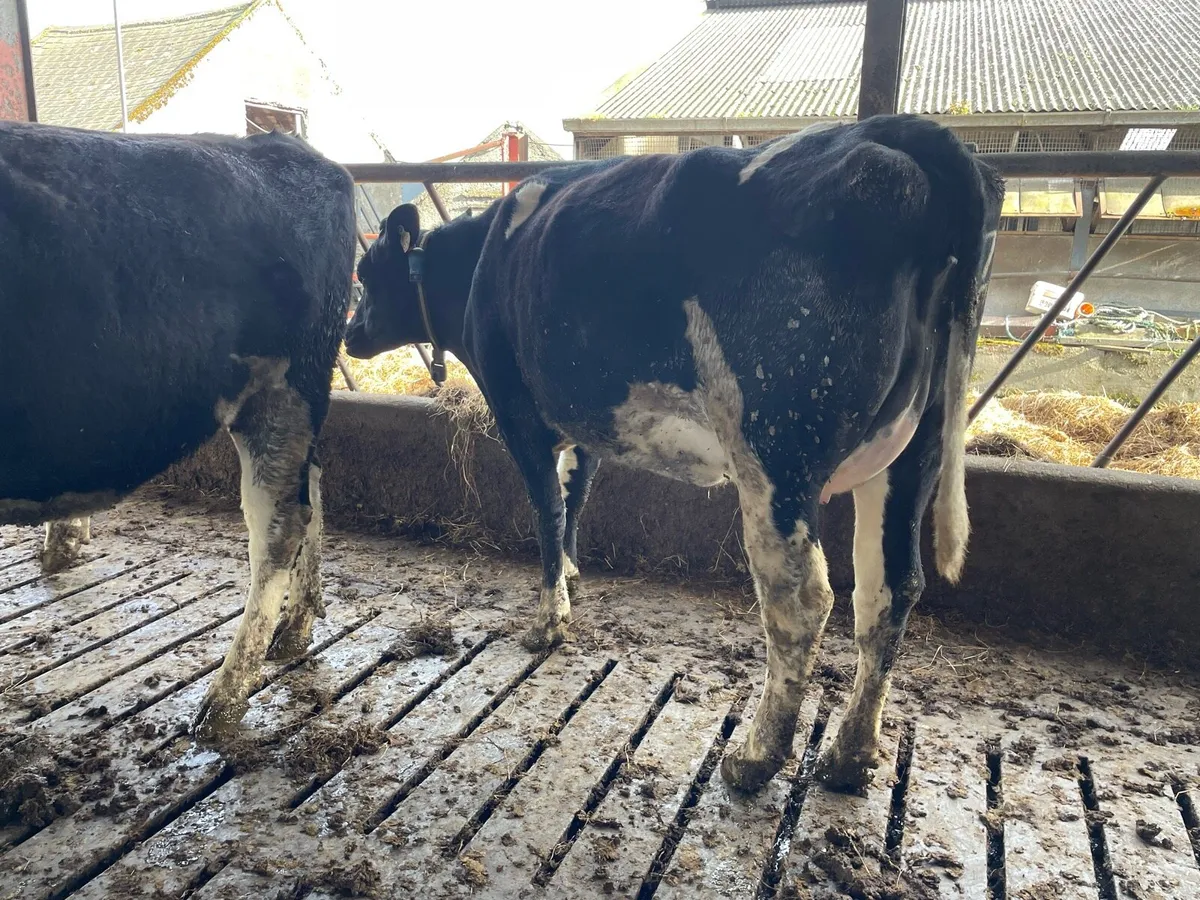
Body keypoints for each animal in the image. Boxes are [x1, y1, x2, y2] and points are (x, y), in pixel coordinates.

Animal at [0, 121, 356, 737]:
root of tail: (285, 145)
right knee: (311, 486)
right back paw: (294, 628)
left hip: (283, 385)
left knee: (280, 522)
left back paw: (223, 699)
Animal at [345, 114, 1005, 793]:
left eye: (365, 274)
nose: (349, 333)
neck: (480, 260)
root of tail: (891, 131)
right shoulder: (587, 421)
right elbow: (576, 495)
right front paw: (574, 576)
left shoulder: (517, 413)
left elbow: (546, 512)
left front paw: (550, 621)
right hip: (912, 453)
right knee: (888, 592)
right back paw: (848, 756)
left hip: (776, 451)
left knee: (801, 601)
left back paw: (755, 757)